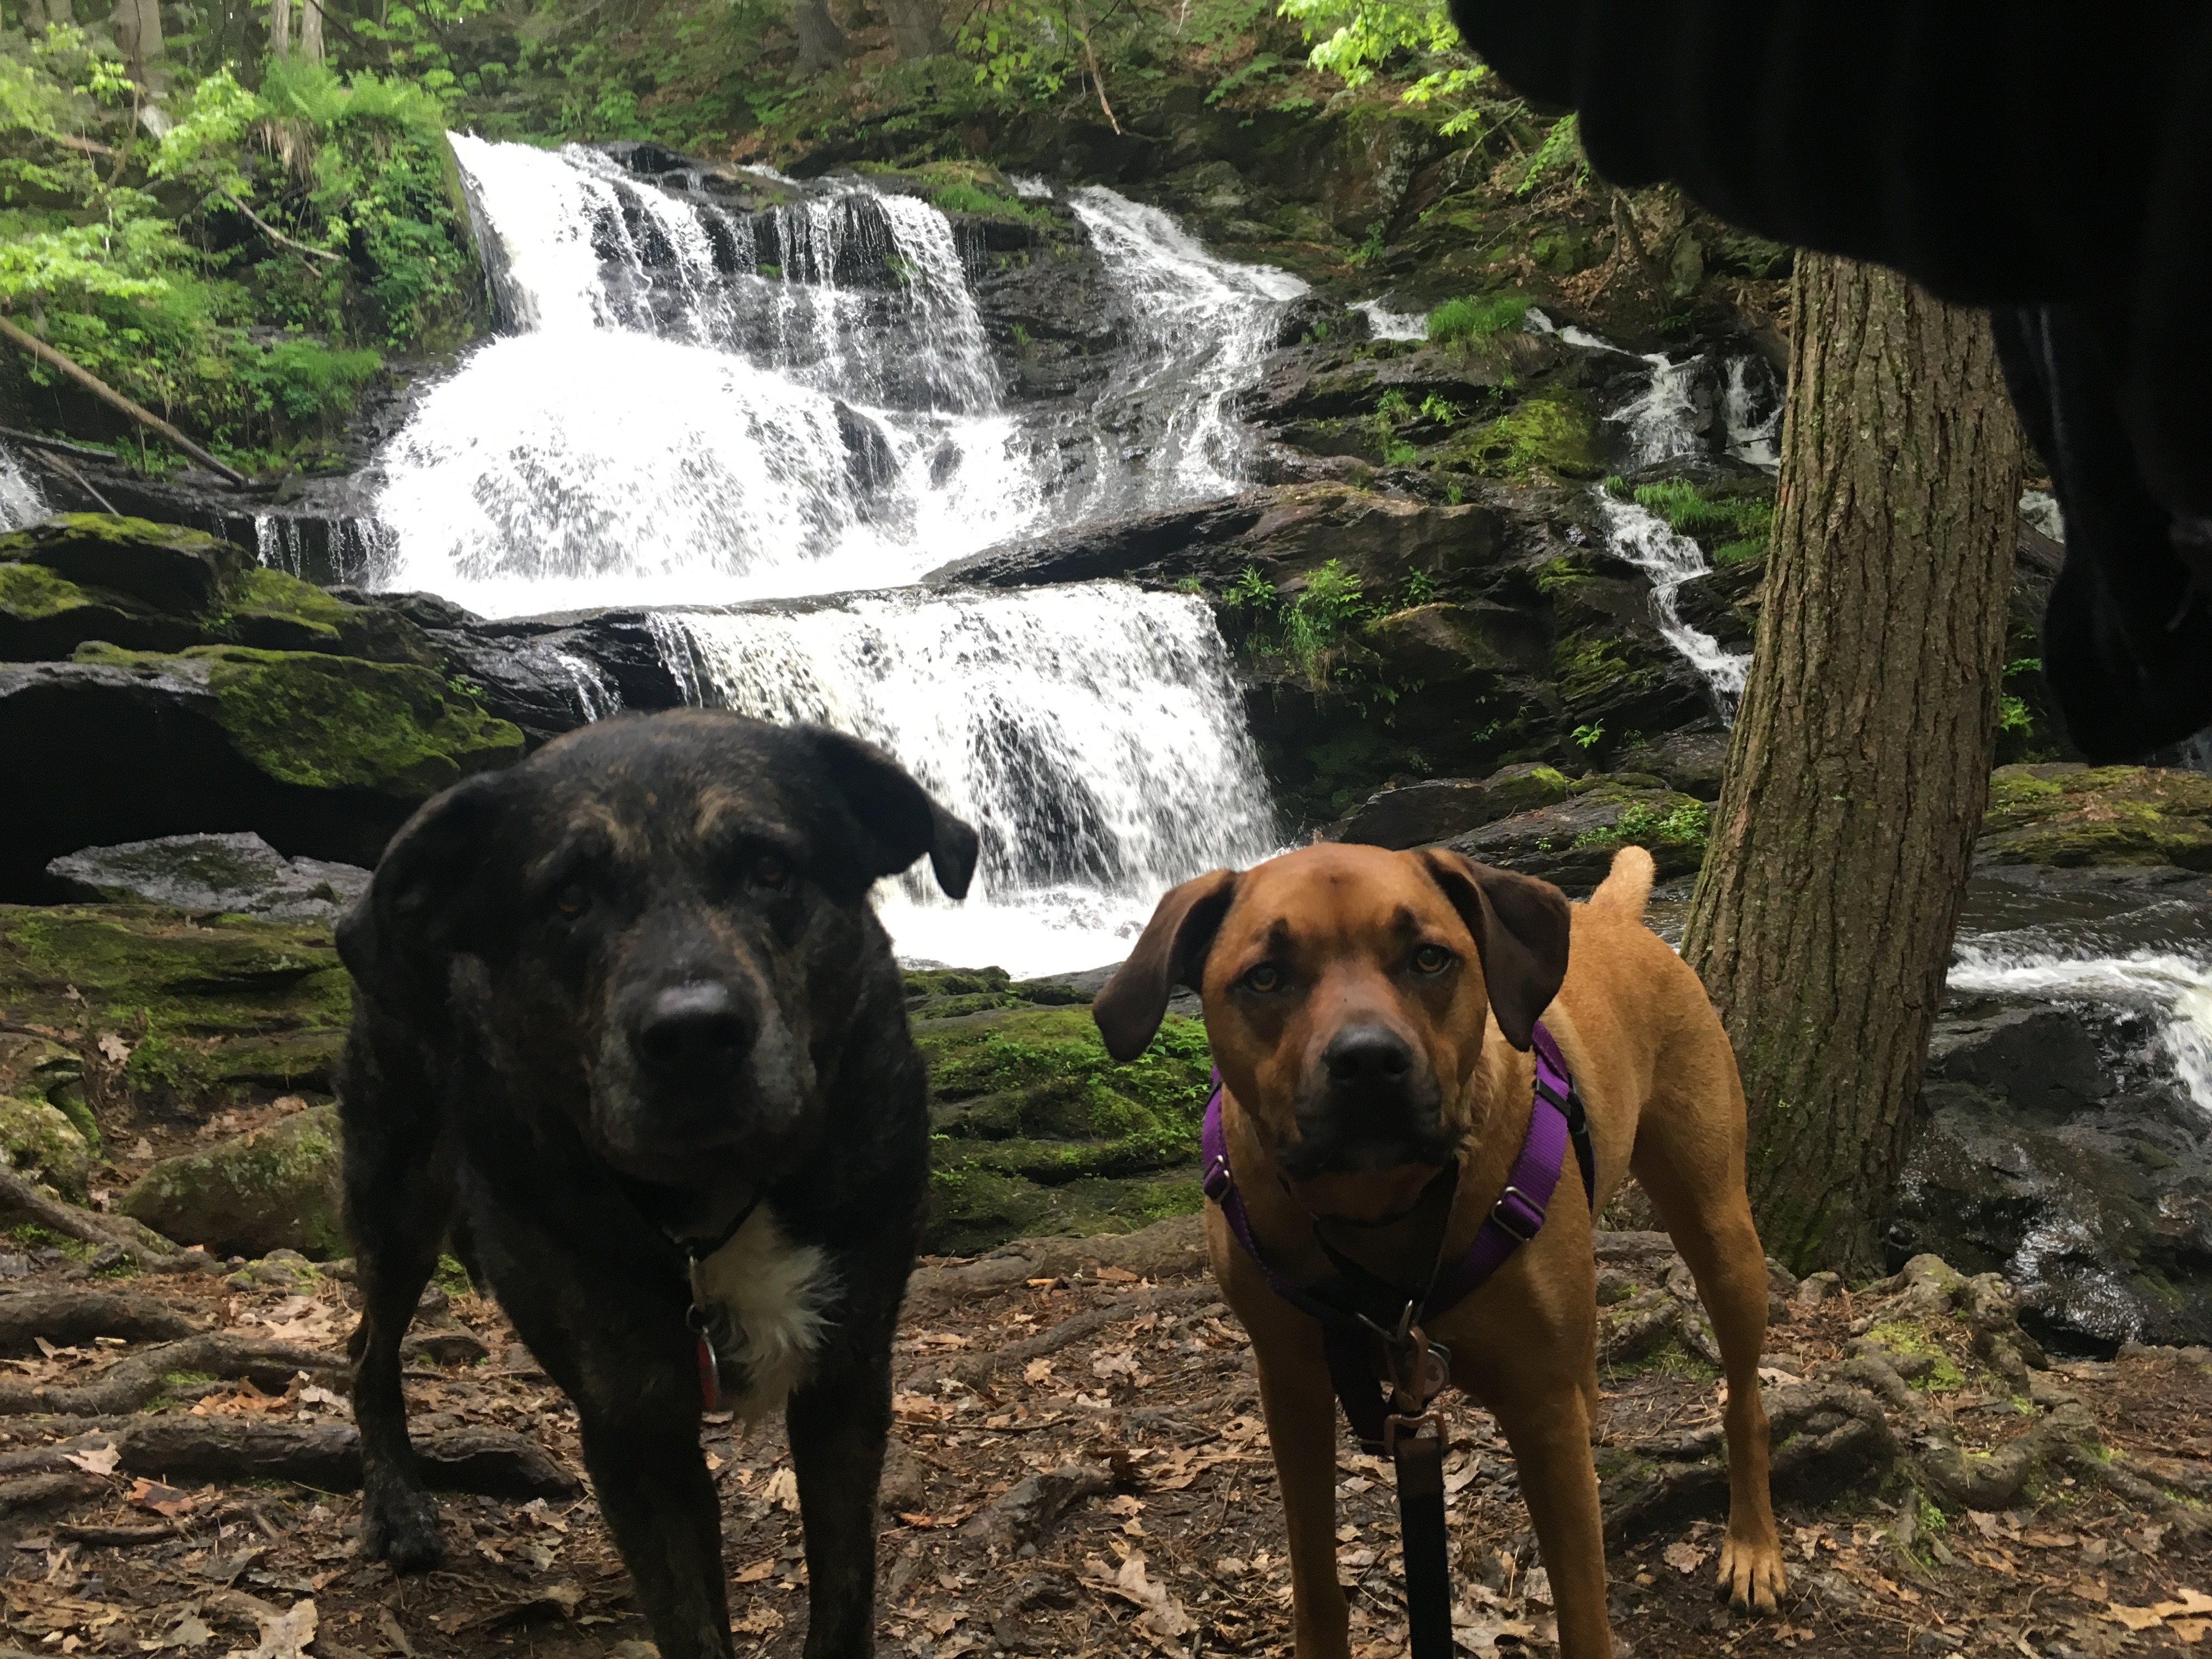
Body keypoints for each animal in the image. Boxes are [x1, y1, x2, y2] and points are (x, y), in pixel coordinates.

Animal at [334, 711, 977, 1659]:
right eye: (569, 899)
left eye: (770, 869)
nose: (695, 1036)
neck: (719, 1192)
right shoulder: (636, 1434)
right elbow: (692, 1623)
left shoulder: (848, 1380)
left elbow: (845, 1595)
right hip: (396, 1191)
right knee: (368, 1351)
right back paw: (398, 1506)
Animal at [1091, 841, 1782, 1659]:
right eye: (1265, 977)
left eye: (1429, 958)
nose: (1367, 1061)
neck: (1379, 1207)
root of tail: (1607, 917)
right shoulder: (1291, 1384)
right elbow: (1314, 1577)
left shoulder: (1540, 1410)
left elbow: (1583, 1610)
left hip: (1720, 1229)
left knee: (1744, 1401)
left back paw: (1753, 1545)